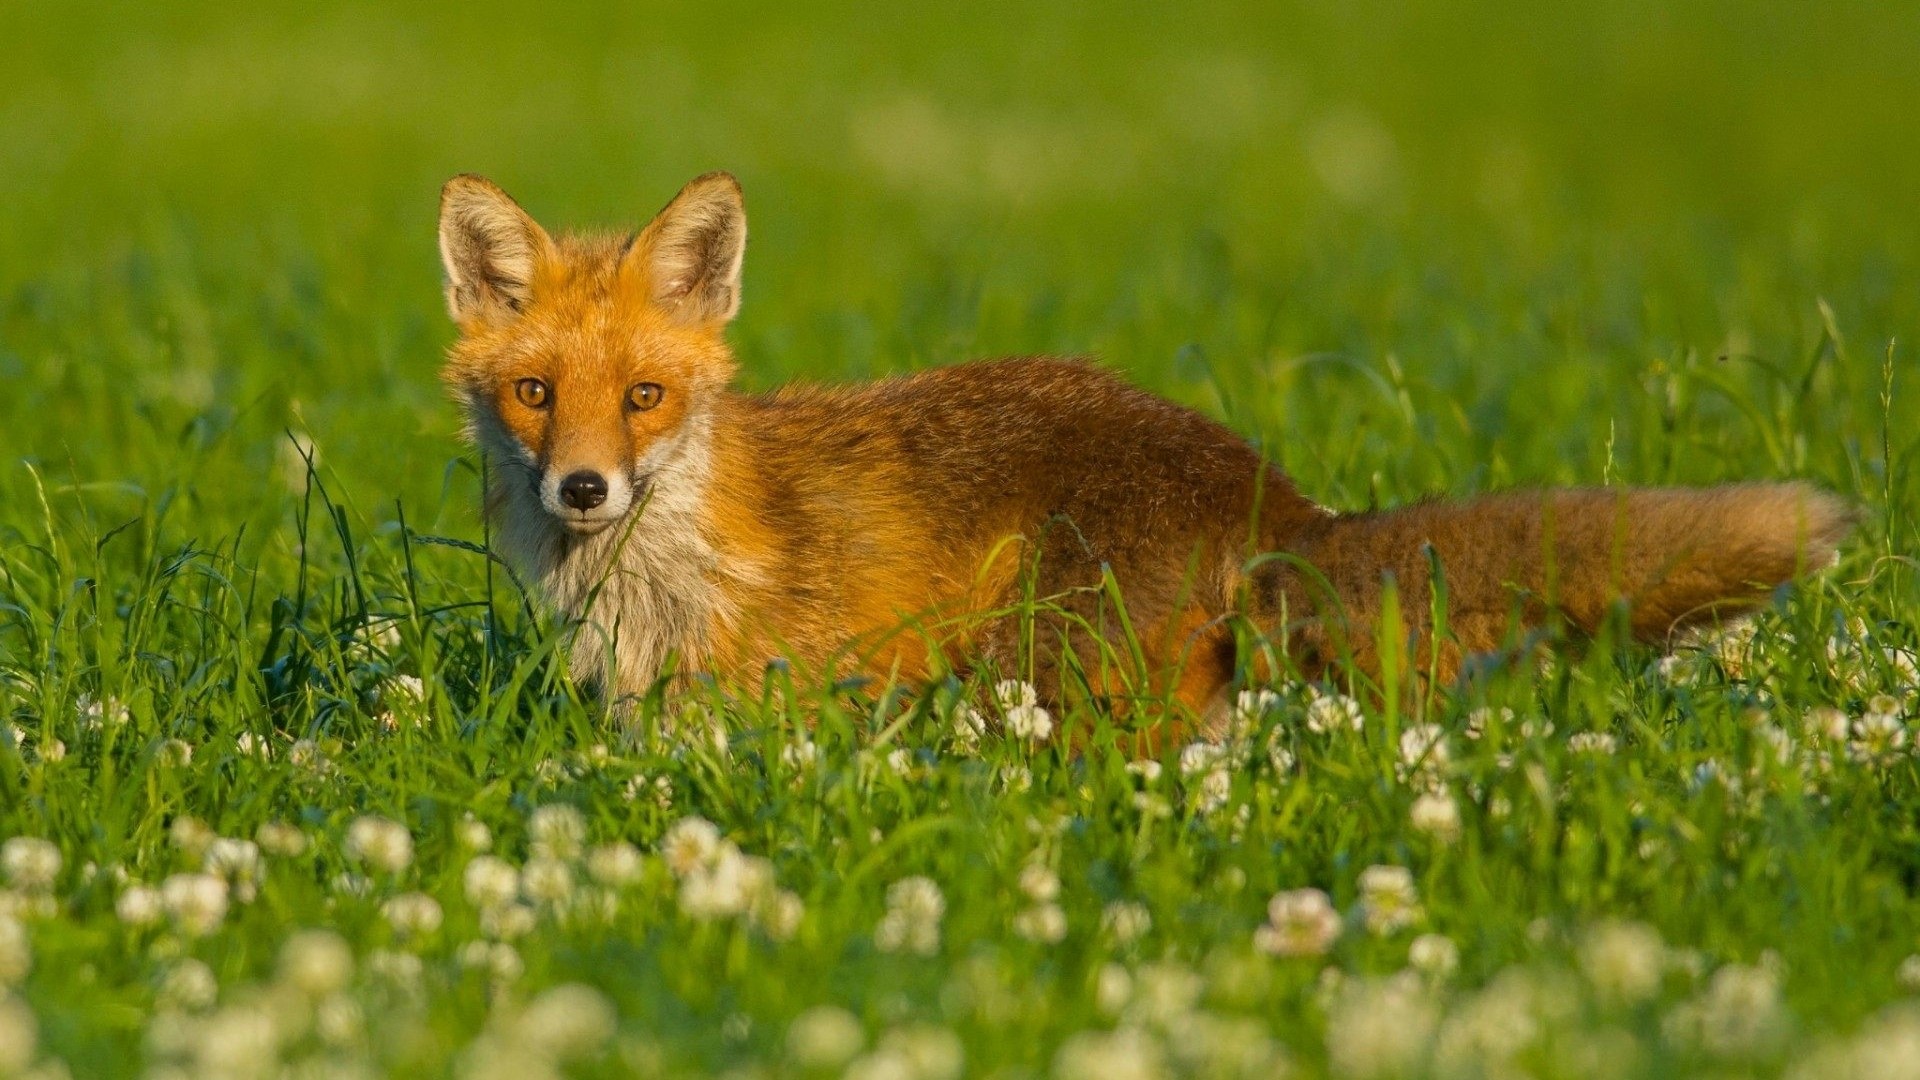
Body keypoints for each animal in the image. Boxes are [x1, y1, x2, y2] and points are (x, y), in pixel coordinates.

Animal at [437, 170, 1852, 741]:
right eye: (534, 393)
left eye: (645, 397)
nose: (582, 487)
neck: (661, 568)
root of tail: (1276, 500)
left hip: (1061, 678)